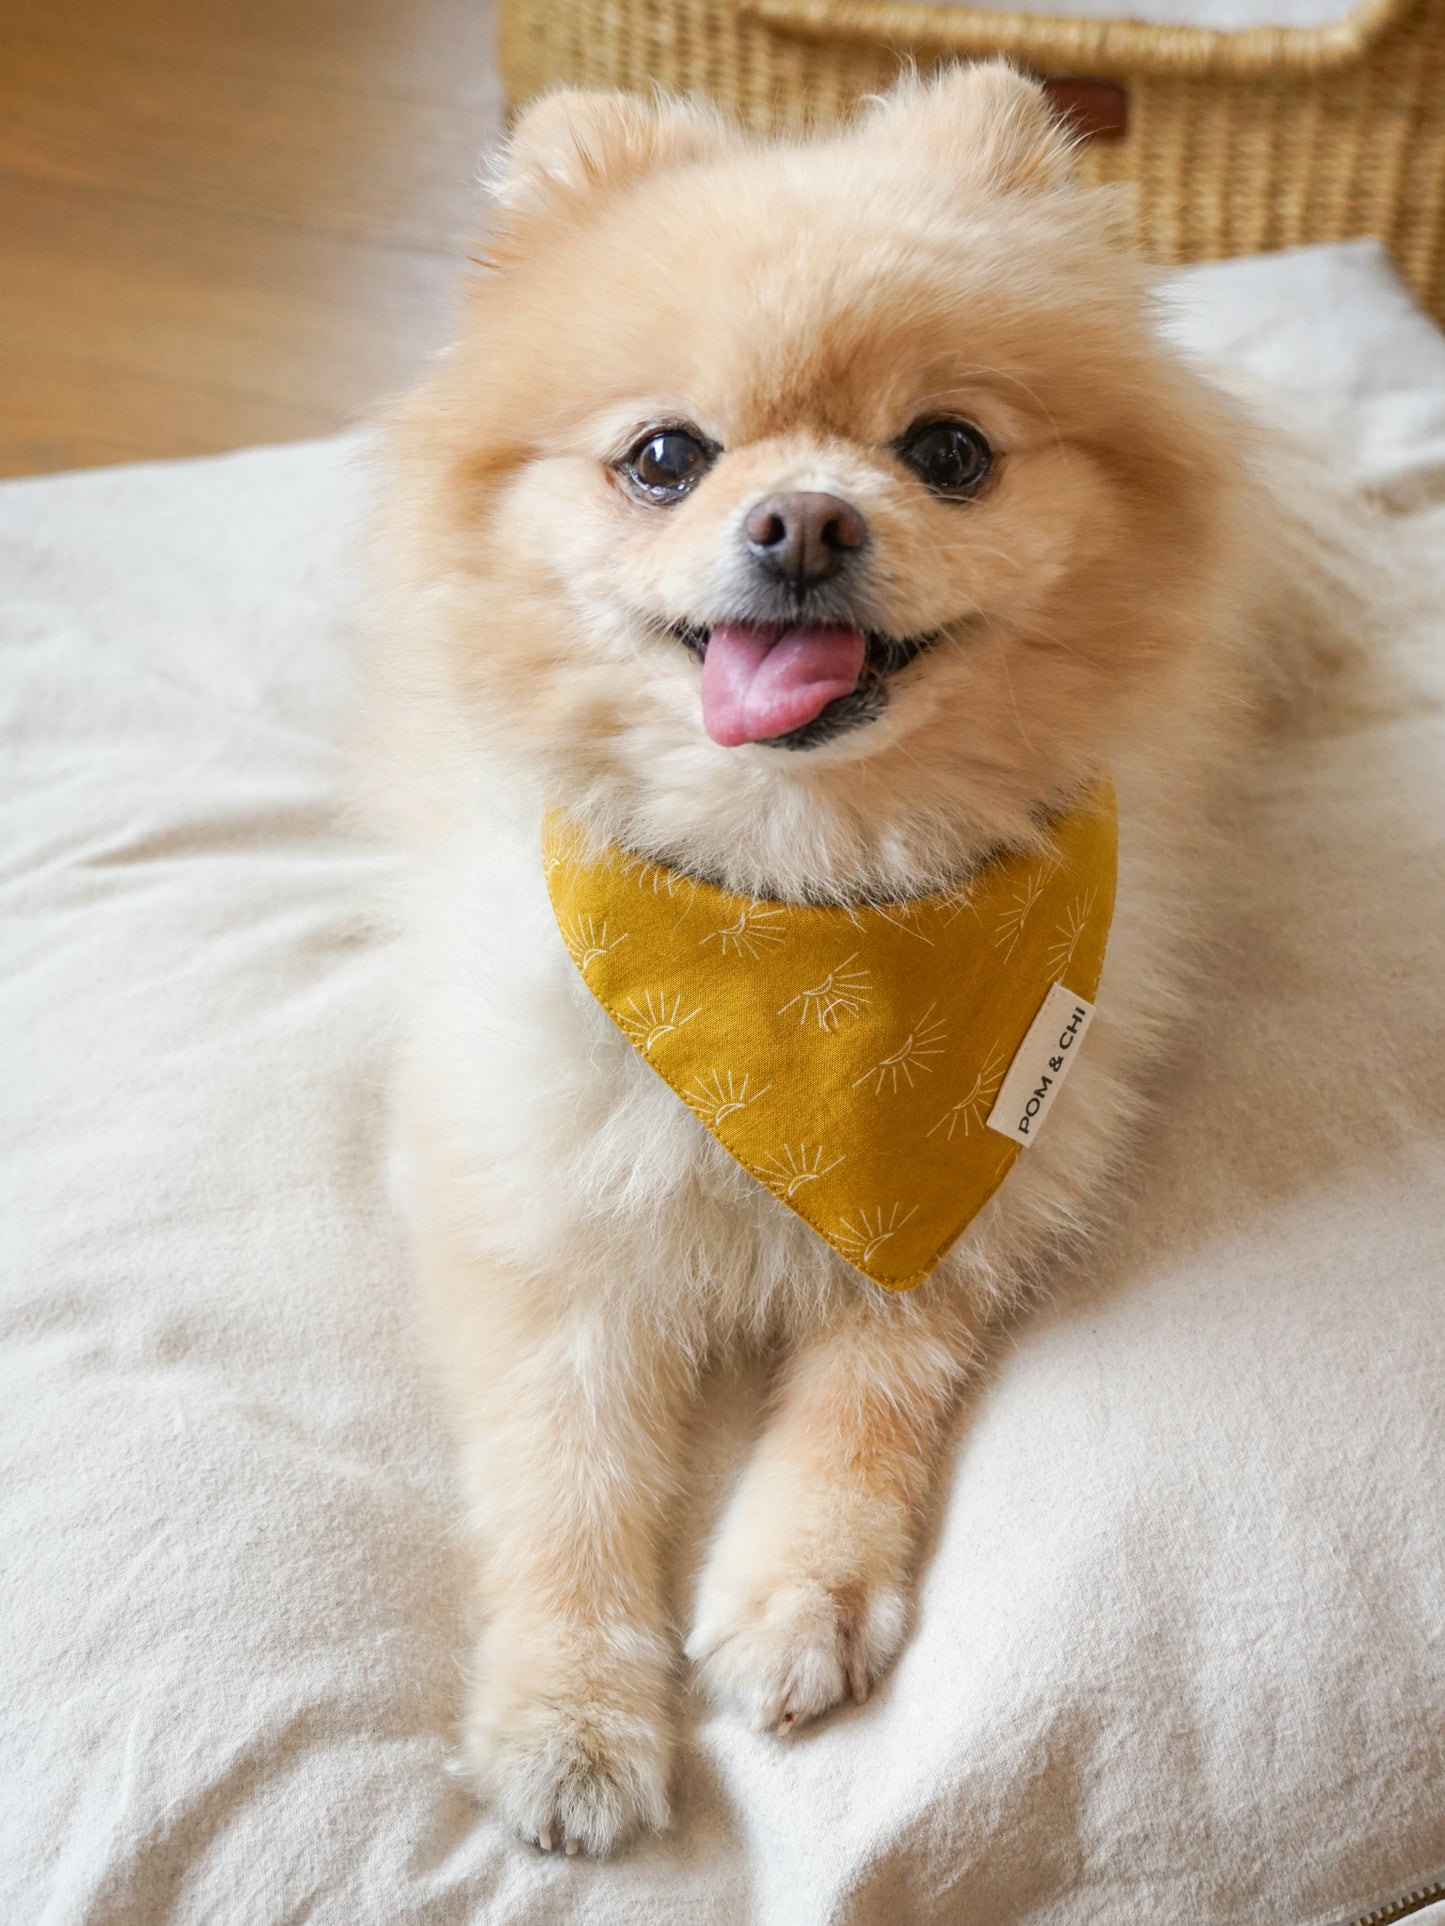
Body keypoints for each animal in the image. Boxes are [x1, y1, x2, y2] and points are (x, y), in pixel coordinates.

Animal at [364, 67, 1325, 1856]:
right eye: (662, 457)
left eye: (947, 452)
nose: (803, 520)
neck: (806, 909)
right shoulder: (538, 1201)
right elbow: (564, 1471)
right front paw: (569, 1713)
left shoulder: (980, 1169)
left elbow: (871, 1383)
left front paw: (800, 1587)